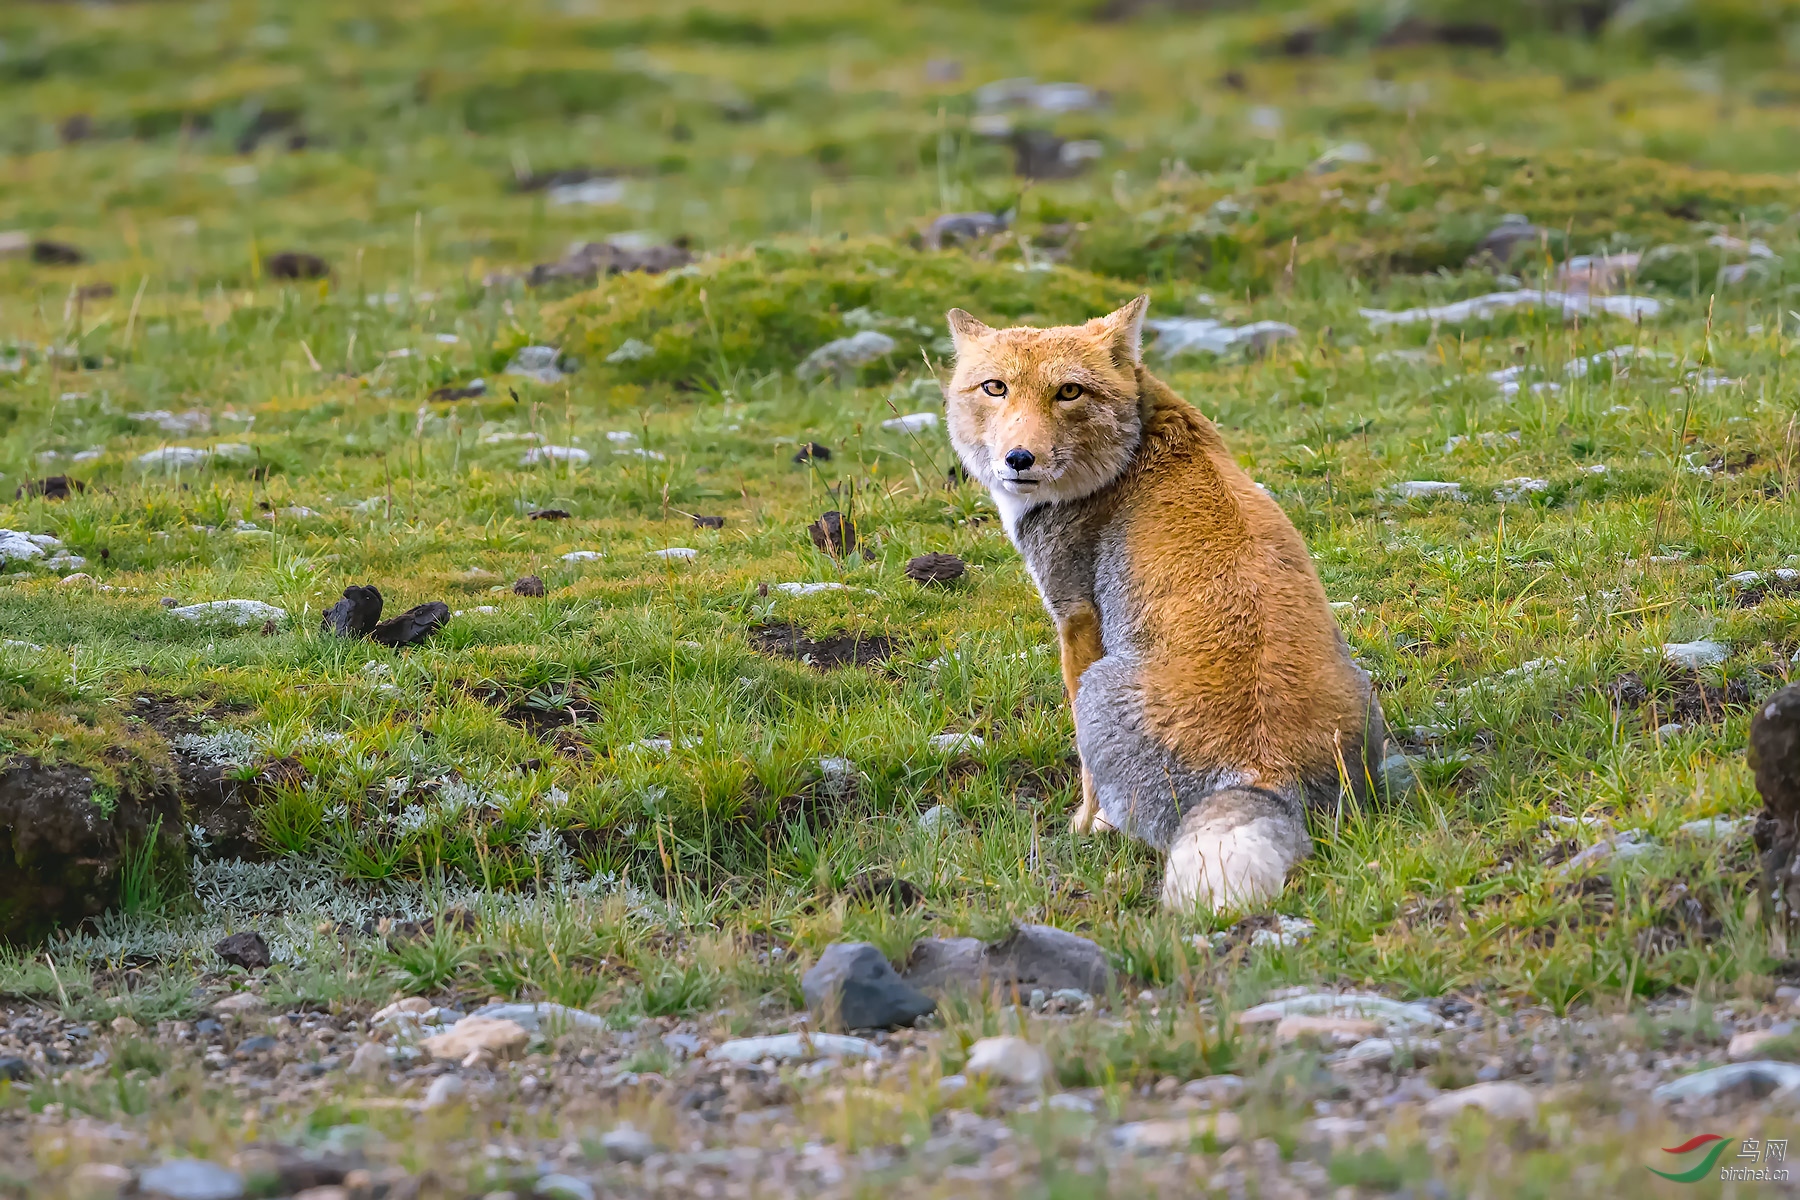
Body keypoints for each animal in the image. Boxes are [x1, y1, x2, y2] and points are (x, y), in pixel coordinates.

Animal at [936, 298, 1382, 910]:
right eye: (995, 388)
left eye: (1069, 392)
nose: (1019, 458)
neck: (1132, 452)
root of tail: (1265, 773)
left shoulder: (1076, 621)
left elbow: (1087, 779)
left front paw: (1084, 823)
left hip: (1096, 686)